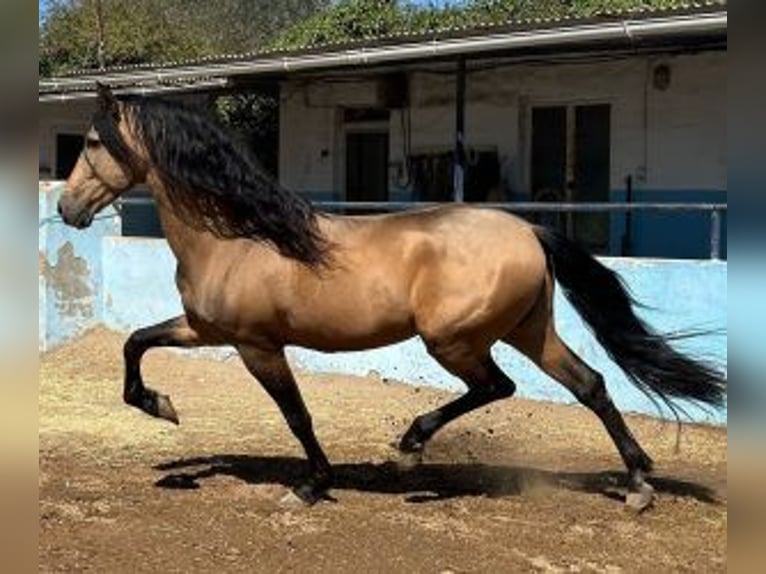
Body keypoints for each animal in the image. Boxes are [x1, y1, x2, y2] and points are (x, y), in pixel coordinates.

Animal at [58, 83, 728, 510]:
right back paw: (638, 484)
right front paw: (160, 406)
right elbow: (135, 343)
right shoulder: (205, 329)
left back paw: (412, 447)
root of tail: (527, 230)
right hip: (528, 329)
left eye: (90, 142)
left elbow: (297, 414)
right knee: (590, 384)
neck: (238, 237)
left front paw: (311, 486)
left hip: (453, 340)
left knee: (497, 387)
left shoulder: (256, 344)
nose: (66, 209)